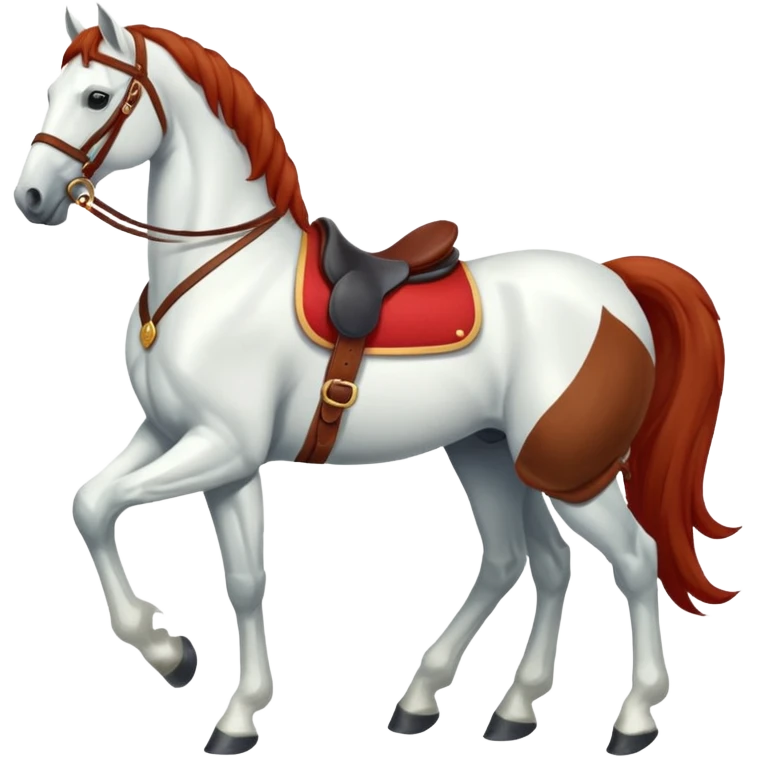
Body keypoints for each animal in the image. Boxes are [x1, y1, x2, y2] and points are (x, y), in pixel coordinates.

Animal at [14, 6, 740, 756]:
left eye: (97, 97)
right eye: (51, 90)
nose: (31, 196)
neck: (217, 272)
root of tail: (614, 284)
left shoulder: (219, 447)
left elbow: (105, 507)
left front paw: (173, 656)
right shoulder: (189, 445)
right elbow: (192, 554)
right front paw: (231, 707)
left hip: (570, 467)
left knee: (634, 558)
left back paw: (634, 717)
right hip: (493, 453)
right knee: (530, 559)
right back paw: (483, 706)